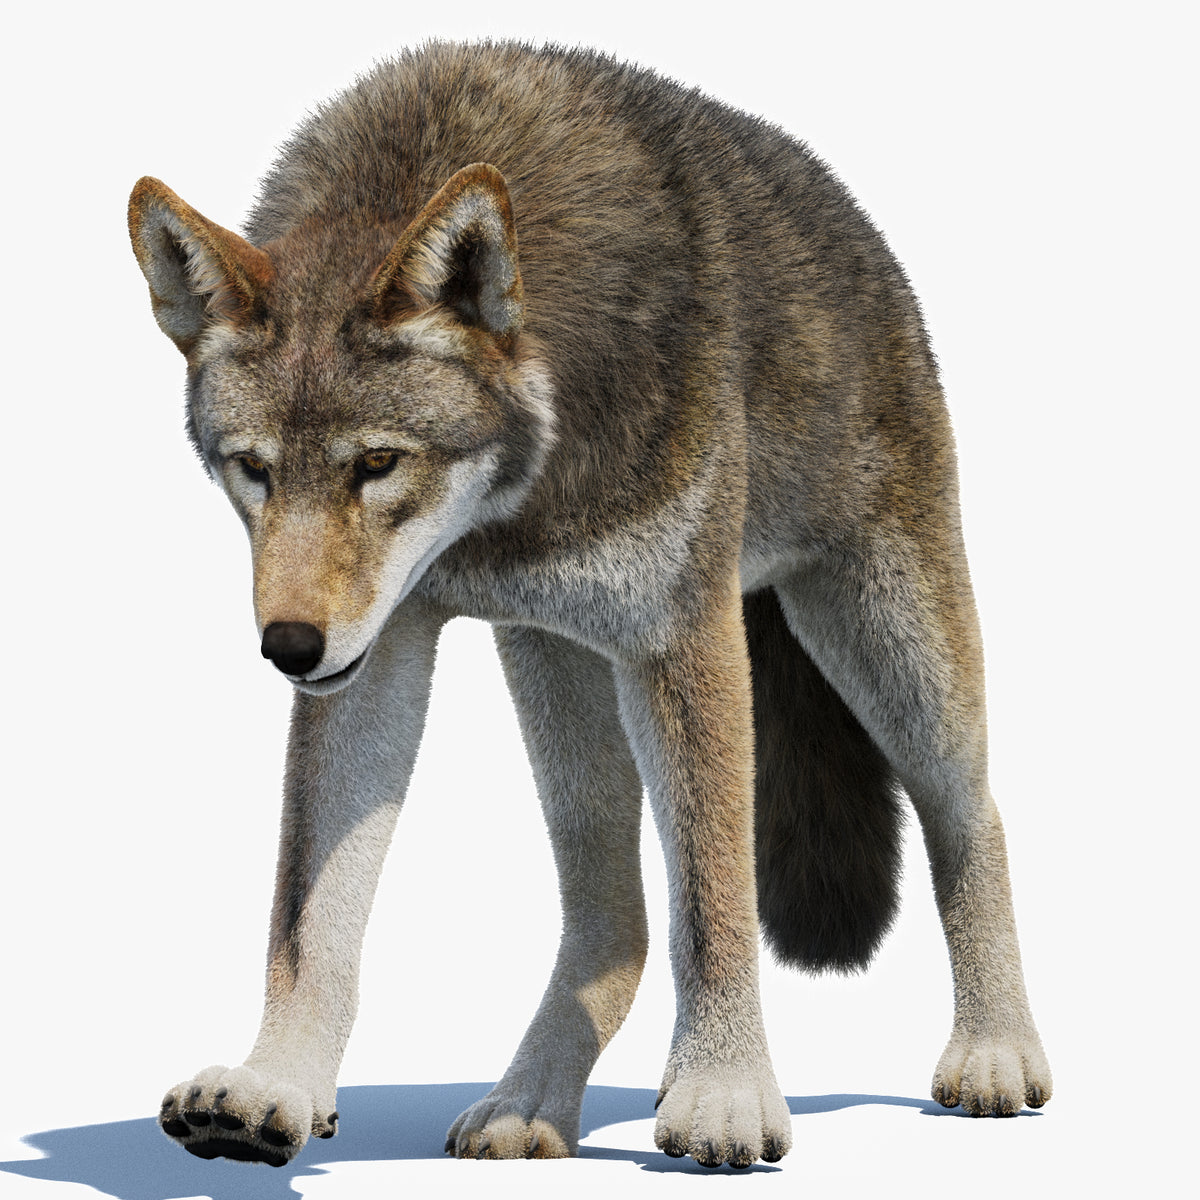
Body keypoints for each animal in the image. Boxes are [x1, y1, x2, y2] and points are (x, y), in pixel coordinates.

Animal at [128, 41, 1051, 1170]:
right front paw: (274, 1085)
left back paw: (996, 1052)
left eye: (377, 465)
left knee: (976, 817)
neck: (517, 504)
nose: (289, 648)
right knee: (616, 922)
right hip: (553, 666)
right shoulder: (380, 652)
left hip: (887, 648)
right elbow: (309, 921)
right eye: (253, 471)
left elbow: (716, 899)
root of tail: (863, 235)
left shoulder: (683, 637)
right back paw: (528, 1103)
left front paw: (724, 1094)